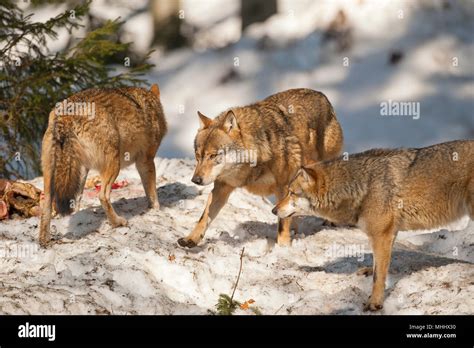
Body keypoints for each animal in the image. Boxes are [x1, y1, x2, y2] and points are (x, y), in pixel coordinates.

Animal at [39, 84, 168, 247]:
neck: (150, 105)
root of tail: (66, 114)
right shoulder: (146, 160)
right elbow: (152, 193)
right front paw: (156, 210)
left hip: (62, 174)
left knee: (49, 204)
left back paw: (44, 240)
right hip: (114, 165)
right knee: (103, 196)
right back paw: (117, 222)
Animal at [179, 88, 344, 249]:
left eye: (213, 155)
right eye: (198, 156)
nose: (195, 180)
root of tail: (322, 95)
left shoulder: (283, 186)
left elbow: (282, 224)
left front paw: (283, 247)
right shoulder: (221, 186)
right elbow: (204, 216)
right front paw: (190, 239)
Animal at [270, 140, 474, 312]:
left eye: (292, 193)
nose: (273, 210)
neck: (362, 187)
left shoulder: (381, 235)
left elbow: (378, 277)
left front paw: (374, 303)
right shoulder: (387, 234)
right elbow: (377, 266)